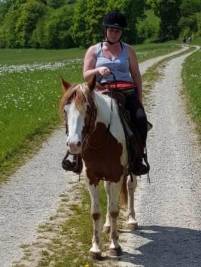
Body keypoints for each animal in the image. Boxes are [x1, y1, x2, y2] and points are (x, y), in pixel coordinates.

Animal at [60, 78, 138, 258]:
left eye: (88, 109)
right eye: (66, 110)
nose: (73, 144)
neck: (102, 139)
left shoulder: (117, 175)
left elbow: (114, 210)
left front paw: (115, 245)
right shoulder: (92, 177)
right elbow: (96, 212)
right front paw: (95, 248)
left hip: (129, 172)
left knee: (130, 187)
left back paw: (131, 219)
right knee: (109, 194)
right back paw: (108, 225)